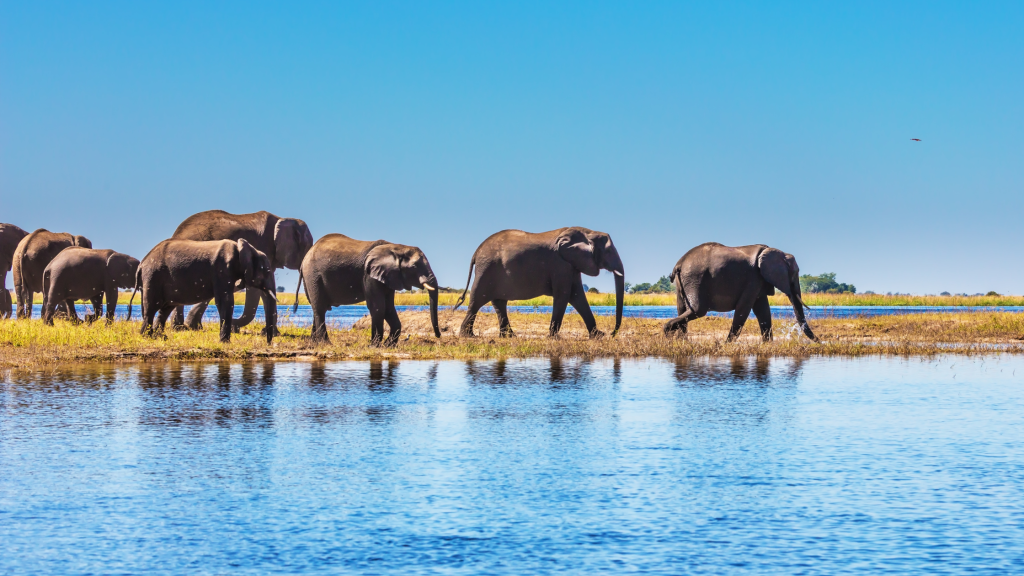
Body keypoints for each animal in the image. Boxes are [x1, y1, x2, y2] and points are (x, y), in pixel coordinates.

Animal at [132, 237, 278, 340]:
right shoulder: (222, 270)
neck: (245, 248)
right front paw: (224, 342)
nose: (268, 342)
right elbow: (225, 301)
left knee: (166, 308)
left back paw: (160, 337)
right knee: (152, 307)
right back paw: (147, 337)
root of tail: (141, 265)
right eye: (267, 271)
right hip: (153, 277)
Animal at [167, 208, 313, 332]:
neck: (282, 219)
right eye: (306, 246)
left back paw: (183, 327)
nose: (294, 307)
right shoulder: (262, 247)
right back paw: (182, 328)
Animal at [296, 230, 440, 342]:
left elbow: (389, 308)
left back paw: (315, 343)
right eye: (414, 266)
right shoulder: (368, 275)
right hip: (313, 275)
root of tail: (305, 257)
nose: (438, 335)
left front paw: (388, 345)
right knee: (320, 308)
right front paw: (374, 345)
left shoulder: (389, 277)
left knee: (318, 308)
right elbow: (378, 307)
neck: (396, 247)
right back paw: (326, 344)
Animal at [454, 226, 622, 338]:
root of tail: (476, 252)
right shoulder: (560, 264)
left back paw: (509, 336)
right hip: (486, 269)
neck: (588, 232)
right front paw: (554, 338)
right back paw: (468, 336)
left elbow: (577, 296)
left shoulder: (570, 265)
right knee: (477, 299)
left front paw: (598, 336)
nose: (612, 333)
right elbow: (564, 295)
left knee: (499, 302)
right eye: (608, 251)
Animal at [663, 240, 823, 340]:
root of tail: (679, 264)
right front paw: (725, 346)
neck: (777, 251)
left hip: (684, 282)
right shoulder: (753, 278)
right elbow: (744, 309)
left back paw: (678, 341)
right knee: (698, 310)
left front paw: (768, 346)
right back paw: (667, 332)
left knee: (682, 309)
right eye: (795, 273)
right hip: (696, 277)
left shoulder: (759, 280)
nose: (820, 342)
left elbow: (763, 311)